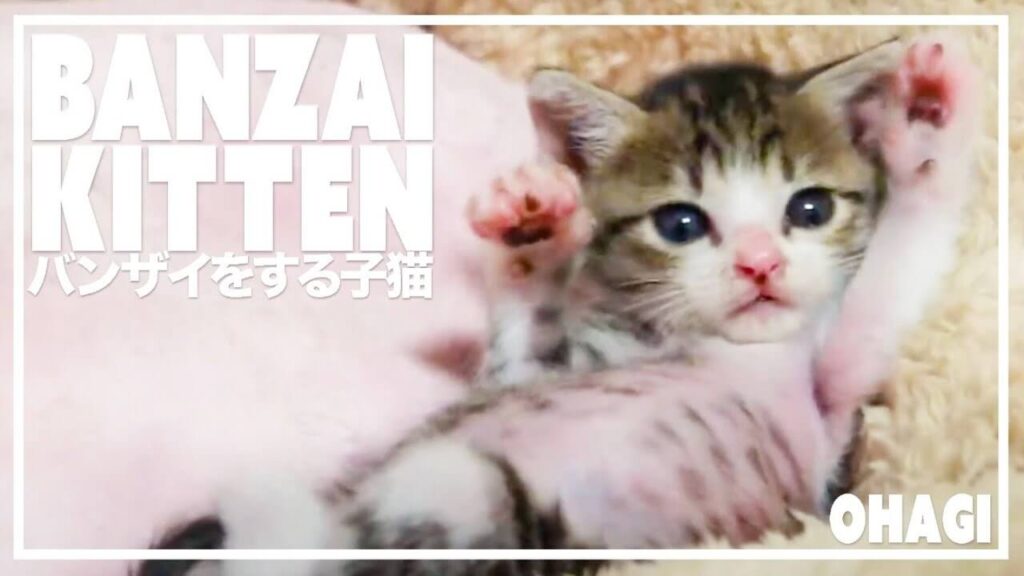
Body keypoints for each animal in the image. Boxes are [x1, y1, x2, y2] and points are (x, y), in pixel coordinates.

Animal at [137, 35, 978, 576]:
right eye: (681, 224)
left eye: (810, 208)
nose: (760, 263)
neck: (729, 347)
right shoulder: (539, 368)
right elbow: (521, 343)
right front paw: (532, 228)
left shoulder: (832, 431)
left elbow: (886, 284)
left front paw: (925, 130)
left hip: (500, 515)